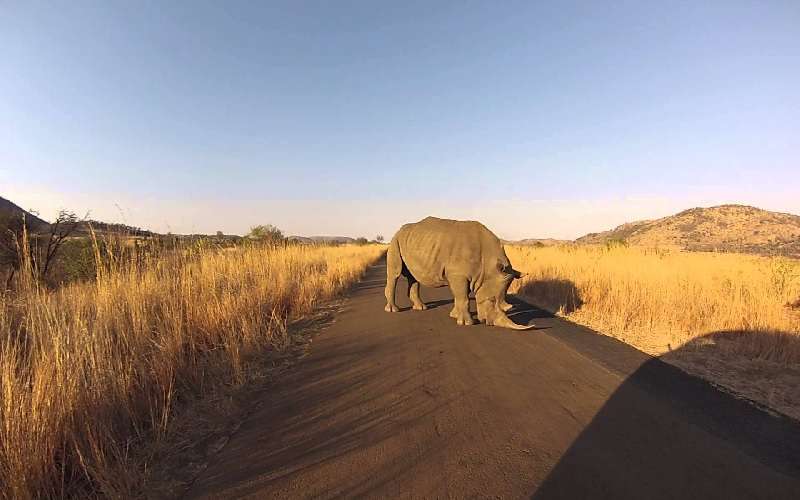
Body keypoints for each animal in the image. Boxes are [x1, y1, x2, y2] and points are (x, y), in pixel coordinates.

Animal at [384, 216, 534, 330]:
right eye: (491, 300)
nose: (491, 323)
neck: (487, 264)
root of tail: (399, 230)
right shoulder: (458, 274)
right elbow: (463, 296)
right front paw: (467, 323)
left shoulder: (464, 275)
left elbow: (460, 295)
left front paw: (455, 315)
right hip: (395, 240)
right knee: (395, 274)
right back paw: (393, 310)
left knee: (413, 276)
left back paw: (421, 308)